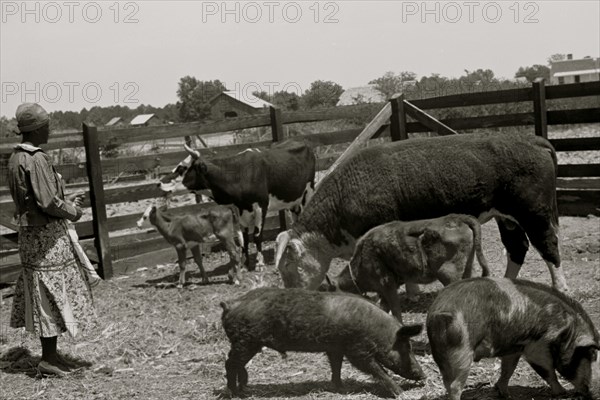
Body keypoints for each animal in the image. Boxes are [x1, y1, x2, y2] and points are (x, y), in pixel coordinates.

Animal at [221, 288, 426, 396]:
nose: (423, 376)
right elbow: (377, 370)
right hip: (244, 341)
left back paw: (245, 388)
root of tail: (230, 304)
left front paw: (341, 387)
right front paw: (400, 392)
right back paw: (234, 393)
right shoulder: (357, 350)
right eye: (406, 346)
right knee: (229, 363)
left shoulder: (335, 348)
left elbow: (336, 367)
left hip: (248, 343)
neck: (377, 331)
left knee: (238, 365)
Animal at [328, 214, 488, 324]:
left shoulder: (387, 284)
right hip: (467, 269)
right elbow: (383, 308)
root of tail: (456, 216)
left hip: (448, 274)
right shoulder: (384, 290)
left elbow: (395, 310)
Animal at [426, 278, 600, 400]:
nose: (596, 393)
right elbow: (547, 370)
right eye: (590, 354)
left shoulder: (514, 348)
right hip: (461, 350)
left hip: (443, 354)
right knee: (455, 385)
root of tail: (437, 312)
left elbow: (508, 369)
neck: (567, 330)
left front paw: (505, 394)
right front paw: (562, 393)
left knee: (447, 381)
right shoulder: (537, 346)